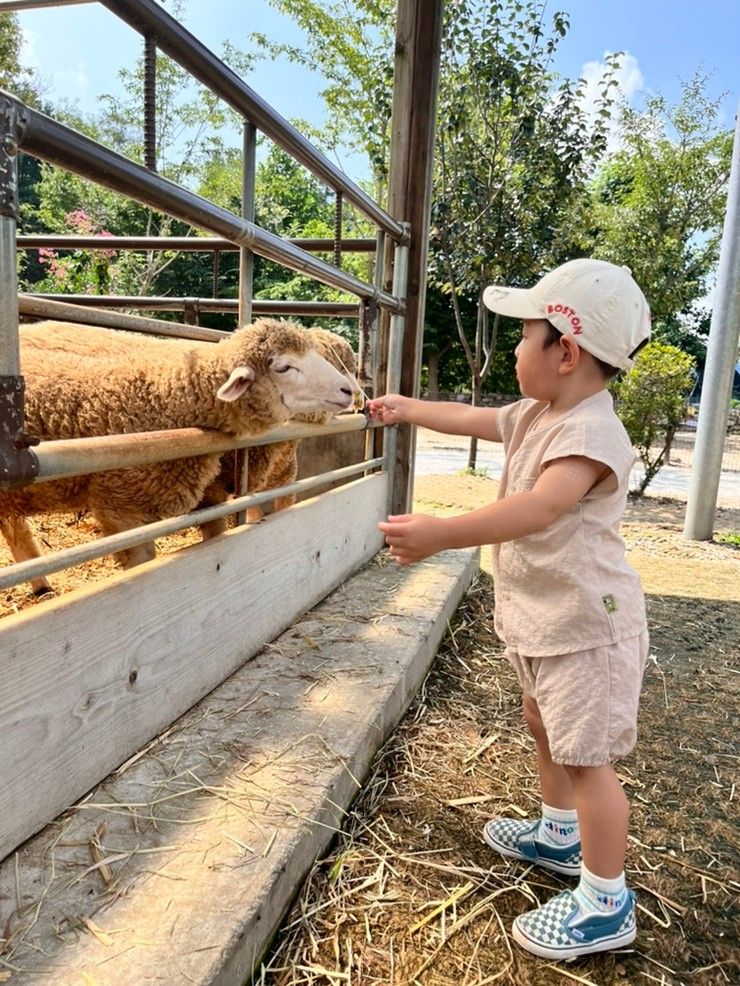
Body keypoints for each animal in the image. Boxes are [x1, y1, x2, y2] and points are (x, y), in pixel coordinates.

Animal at [0, 318, 358, 592]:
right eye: (284, 367)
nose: (350, 392)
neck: (170, 397)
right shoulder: (119, 503)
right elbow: (144, 561)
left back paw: (43, 587)